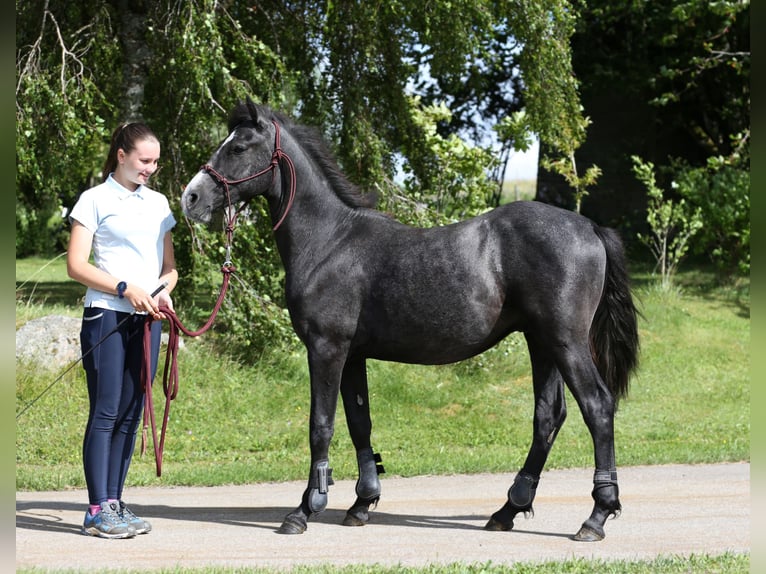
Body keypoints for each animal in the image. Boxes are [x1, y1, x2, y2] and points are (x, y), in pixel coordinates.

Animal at [181, 99, 640, 540]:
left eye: (238, 148)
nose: (191, 198)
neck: (329, 242)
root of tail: (591, 229)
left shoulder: (327, 348)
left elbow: (321, 426)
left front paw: (304, 511)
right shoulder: (353, 355)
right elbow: (360, 423)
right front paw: (362, 504)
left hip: (565, 341)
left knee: (597, 406)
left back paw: (596, 517)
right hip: (541, 341)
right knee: (548, 416)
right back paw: (507, 511)